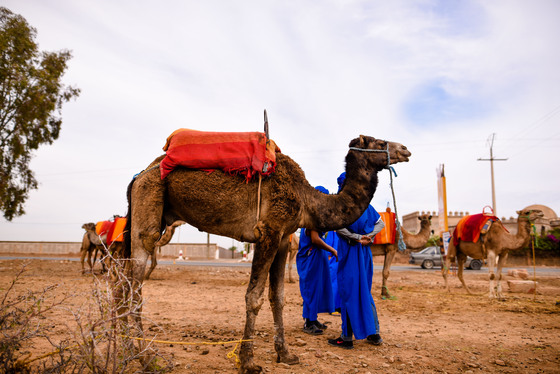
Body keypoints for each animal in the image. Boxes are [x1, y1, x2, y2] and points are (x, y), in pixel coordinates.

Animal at [123, 134, 412, 372]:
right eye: (378, 142)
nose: (405, 149)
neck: (307, 199)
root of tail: (139, 175)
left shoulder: (283, 238)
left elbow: (278, 297)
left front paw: (285, 354)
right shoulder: (268, 232)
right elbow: (254, 297)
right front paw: (247, 362)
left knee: (124, 280)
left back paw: (126, 348)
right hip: (149, 203)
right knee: (136, 281)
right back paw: (146, 358)